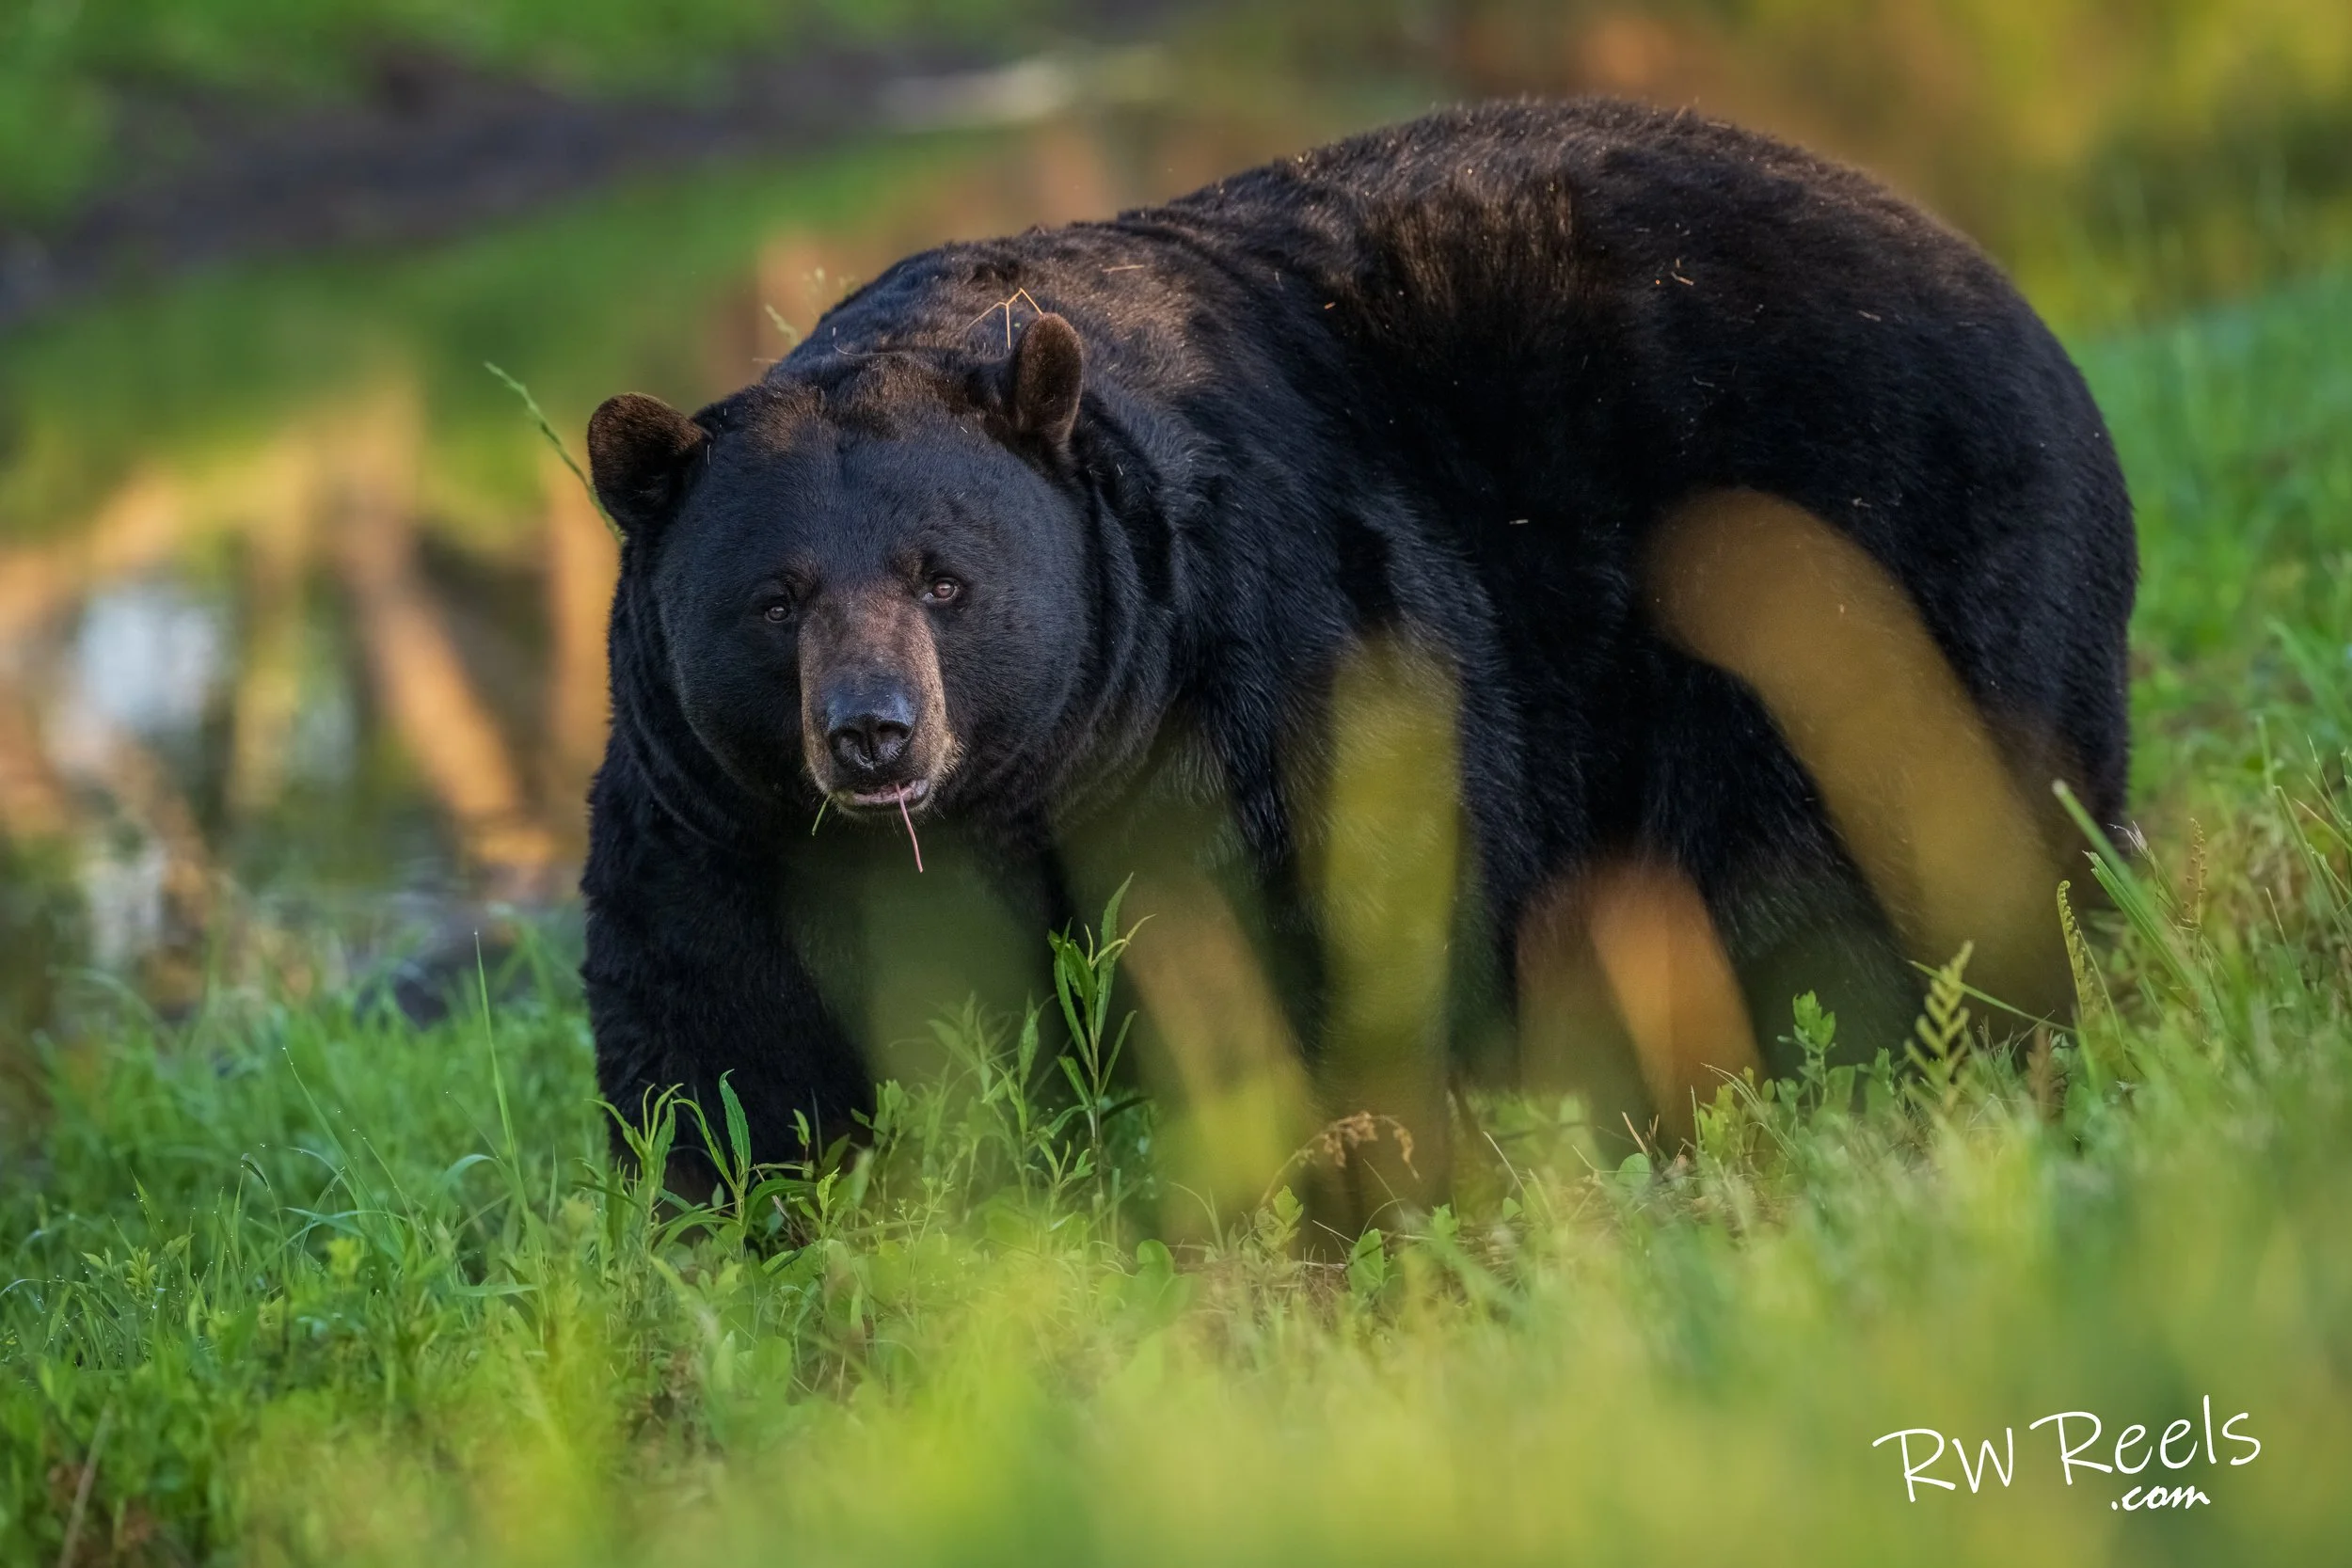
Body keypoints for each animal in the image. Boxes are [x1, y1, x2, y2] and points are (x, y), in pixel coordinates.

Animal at [579, 98, 2135, 1205]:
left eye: (943, 578)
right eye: (775, 599)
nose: (873, 731)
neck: (1002, 798)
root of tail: (2024, 307)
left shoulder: (1249, 662)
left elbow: (1310, 910)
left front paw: (1316, 1150)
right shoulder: (720, 814)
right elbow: (717, 1029)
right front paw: (746, 1210)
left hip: (1880, 570)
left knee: (1888, 858)